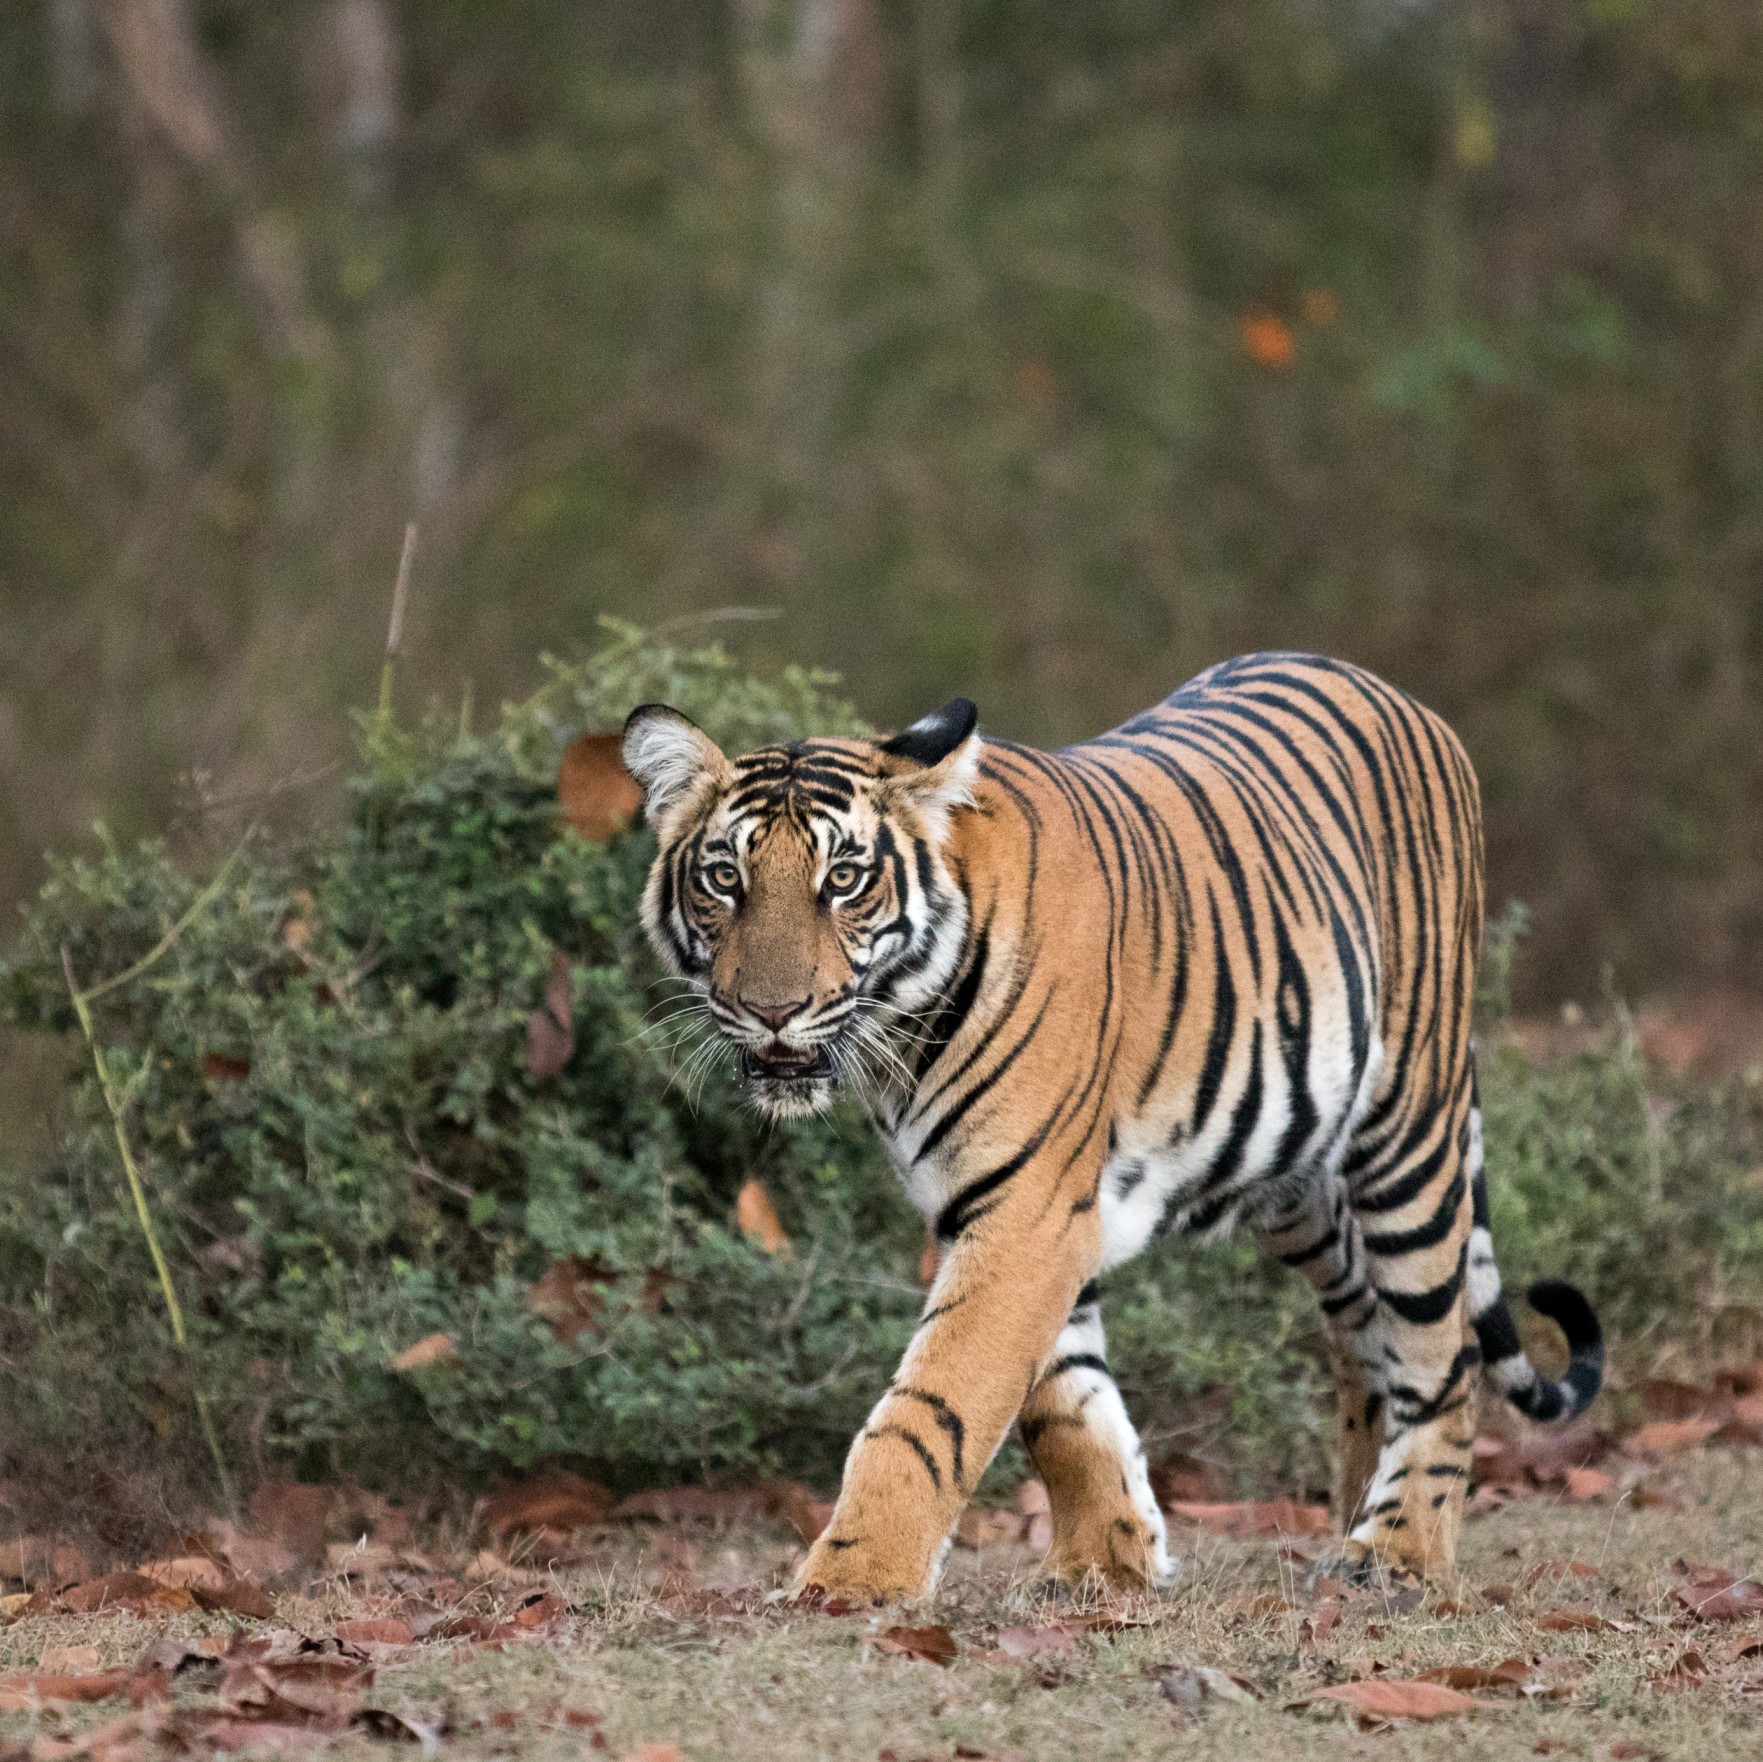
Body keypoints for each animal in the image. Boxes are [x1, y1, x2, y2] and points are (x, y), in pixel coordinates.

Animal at [621, 651, 1603, 1598]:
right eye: (724, 879)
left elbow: (935, 1404)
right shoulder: (1008, 1209)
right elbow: (1061, 1405)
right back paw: (1348, 1521)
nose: (771, 1011)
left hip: (1407, 1132)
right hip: (1299, 1182)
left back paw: (1398, 1553)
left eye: (843, 880)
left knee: (1442, 1354)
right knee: (1366, 1330)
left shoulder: (1025, 1211)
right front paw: (1106, 1560)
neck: (901, 1032)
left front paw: (853, 1578)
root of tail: (1396, 693)